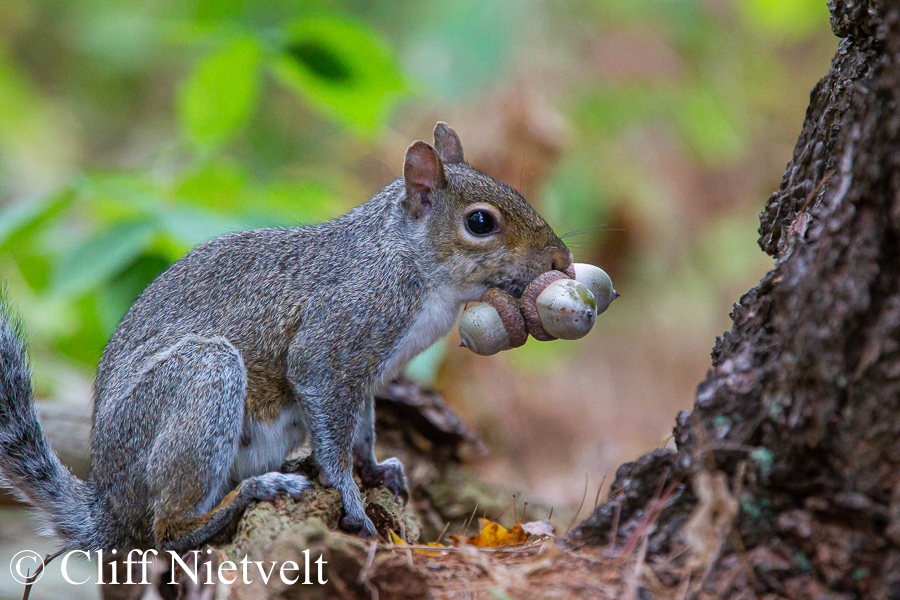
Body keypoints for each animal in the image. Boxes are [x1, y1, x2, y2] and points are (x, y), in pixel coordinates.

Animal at [0, 123, 572, 552]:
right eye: (480, 223)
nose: (561, 261)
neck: (406, 260)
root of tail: (107, 504)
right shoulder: (335, 338)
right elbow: (330, 425)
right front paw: (351, 497)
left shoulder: (366, 375)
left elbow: (362, 428)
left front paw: (376, 469)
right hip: (201, 381)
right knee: (166, 529)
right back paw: (255, 490)